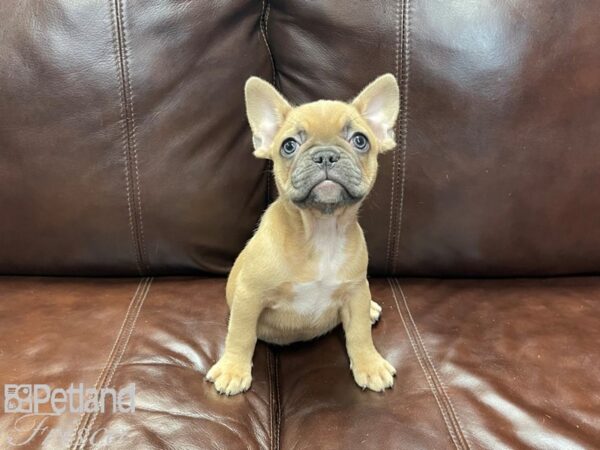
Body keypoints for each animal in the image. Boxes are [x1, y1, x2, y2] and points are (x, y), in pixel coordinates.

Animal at [206, 75, 398, 396]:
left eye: (360, 140)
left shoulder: (355, 290)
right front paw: (233, 369)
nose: (325, 155)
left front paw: (369, 364)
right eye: (289, 146)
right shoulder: (249, 295)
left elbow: (359, 333)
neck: (320, 230)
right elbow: (241, 335)